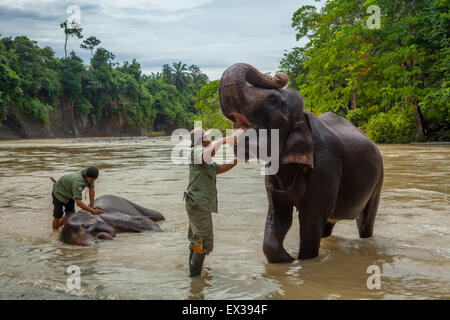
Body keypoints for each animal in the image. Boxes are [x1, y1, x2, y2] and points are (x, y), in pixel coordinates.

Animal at [218, 63, 384, 262]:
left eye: (272, 100)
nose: (279, 75)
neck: (302, 118)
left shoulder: (326, 167)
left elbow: (310, 221)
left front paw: (300, 260)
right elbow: (279, 216)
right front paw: (288, 260)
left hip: (378, 181)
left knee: (365, 222)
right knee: (328, 226)